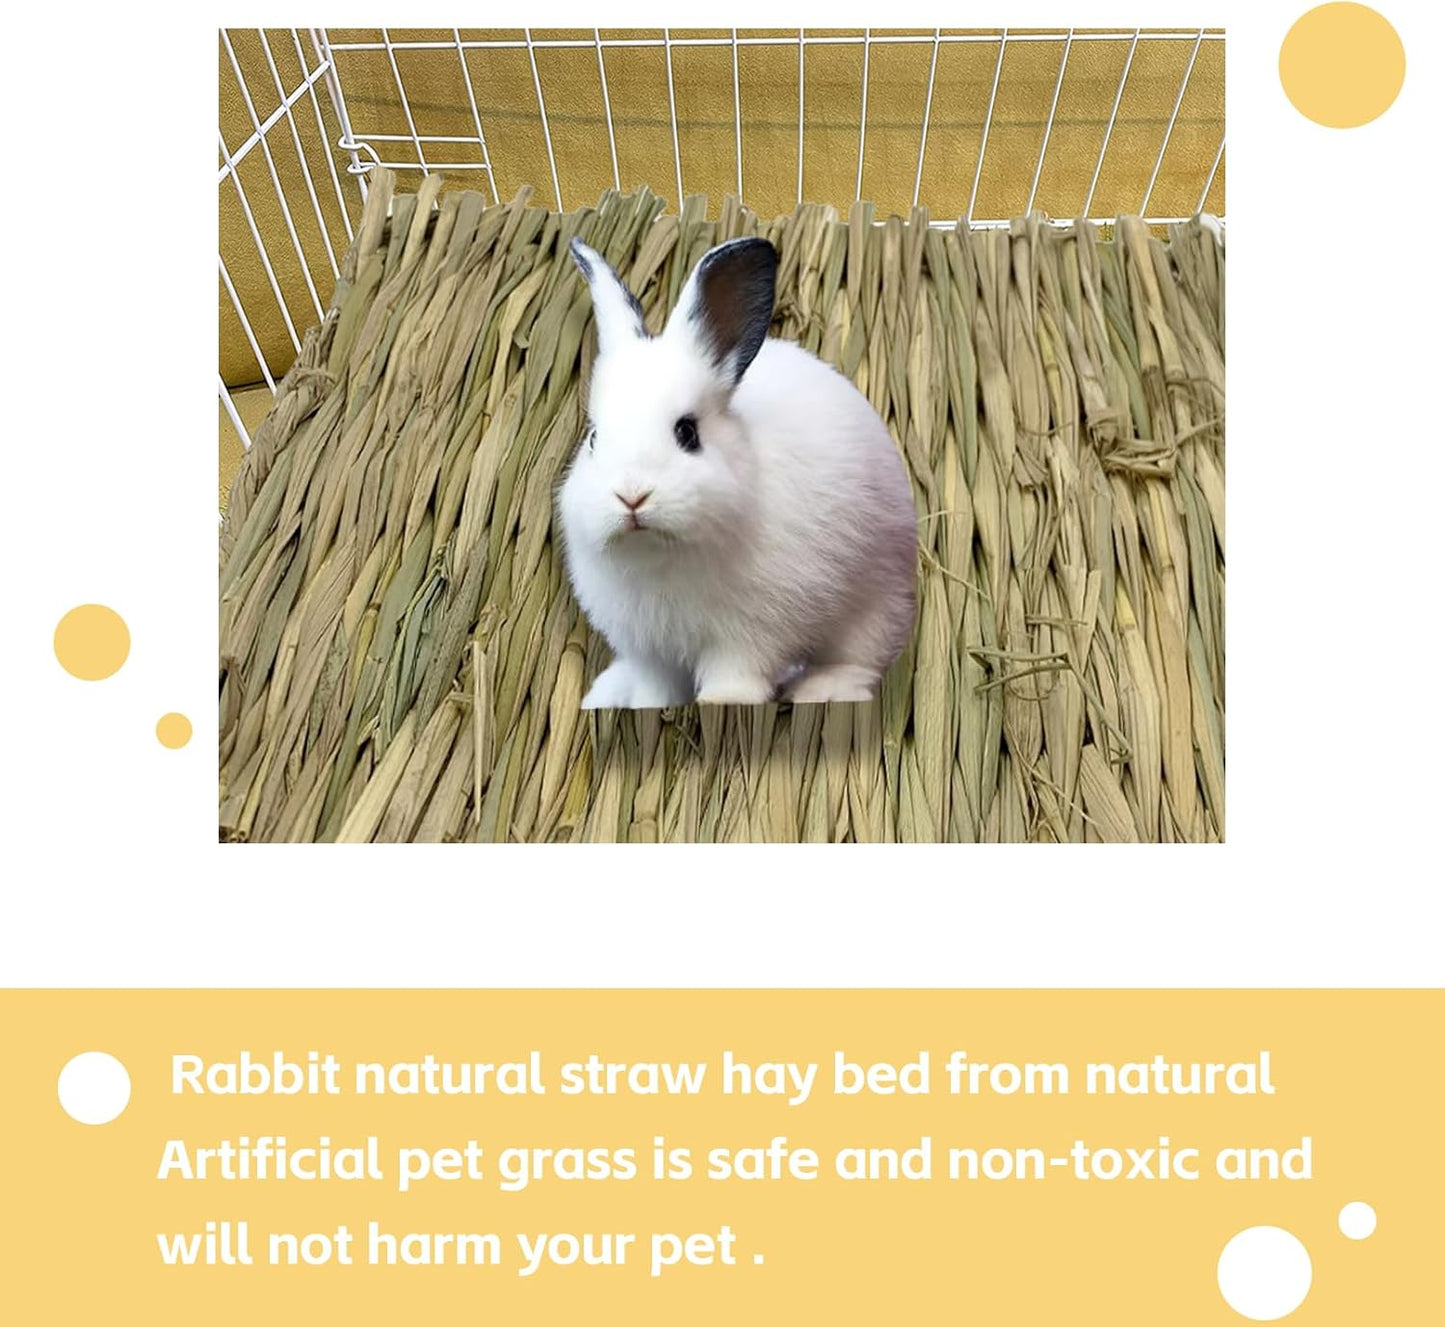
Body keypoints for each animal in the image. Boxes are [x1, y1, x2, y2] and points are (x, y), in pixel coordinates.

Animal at [556, 232, 917, 708]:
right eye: (594, 437)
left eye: (688, 432)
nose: (631, 496)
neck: (660, 555)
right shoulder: (649, 650)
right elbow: (657, 684)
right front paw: (649, 706)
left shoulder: (750, 633)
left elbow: (737, 671)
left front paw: (723, 701)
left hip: (873, 609)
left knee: (860, 661)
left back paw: (822, 689)